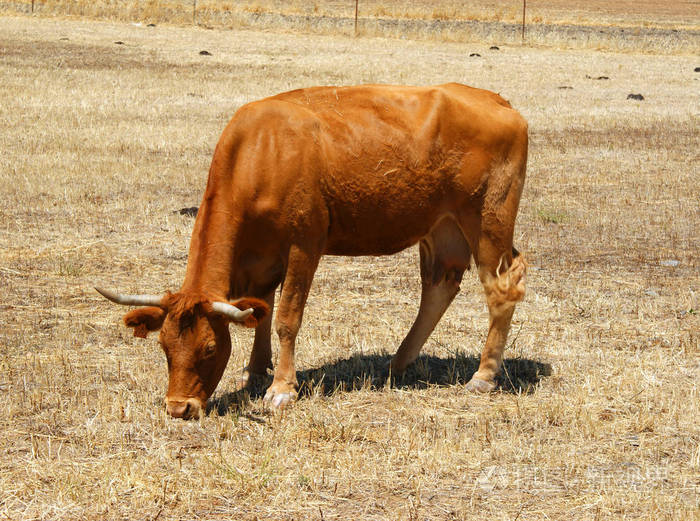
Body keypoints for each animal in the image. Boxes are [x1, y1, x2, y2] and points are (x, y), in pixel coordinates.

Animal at [95, 84, 528, 418]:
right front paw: (255, 370)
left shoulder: (304, 245)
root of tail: (499, 102)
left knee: (501, 290)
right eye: (164, 346)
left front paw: (281, 388)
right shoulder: (260, 257)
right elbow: (260, 309)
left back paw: (483, 375)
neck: (261, 150)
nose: (179, 407)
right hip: (442, 227)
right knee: (439, 287)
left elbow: (287, 316)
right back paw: (399, 362)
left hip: (487, 221)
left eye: (210, 347)